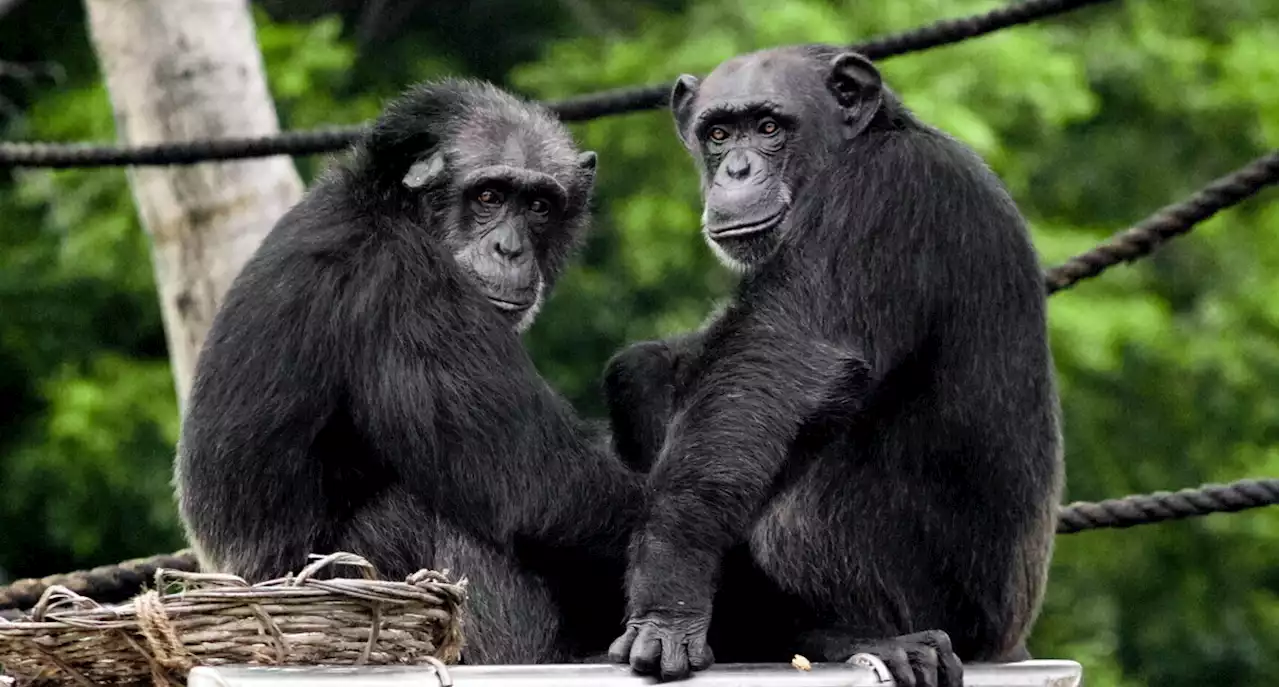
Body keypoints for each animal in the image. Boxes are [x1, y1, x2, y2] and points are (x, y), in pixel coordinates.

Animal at [174, 77, 645, 660]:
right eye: (488, 196)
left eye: (538, 205)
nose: (510, 248)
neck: (394, 209)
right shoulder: (407, 289)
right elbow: (539, 483)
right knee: (449, 509)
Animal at [604, 44, 1064, 685]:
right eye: (718, 133)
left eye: (769, 128)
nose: (736, 170)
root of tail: (1008, 642)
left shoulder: (884, 193)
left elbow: (779, 360)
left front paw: (670, 590)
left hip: (941, 604)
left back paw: (854, 637)